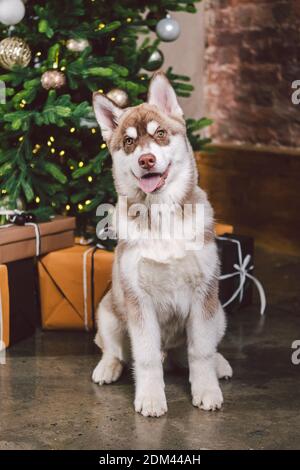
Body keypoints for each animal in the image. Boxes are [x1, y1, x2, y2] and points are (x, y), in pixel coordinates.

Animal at [91, 73, 232, 418]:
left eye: (161, 134)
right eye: (129, 142)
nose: (146, 159)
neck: (162, 216)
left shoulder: (203, 295)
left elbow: (200, 352)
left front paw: (207, 390)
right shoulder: (138, 300)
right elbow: (146, 357)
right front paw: (151, 397)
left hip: (219, 313)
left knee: (202, 350)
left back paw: (220, 363)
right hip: (108, 311)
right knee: (113, 349)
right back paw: (107, 368)